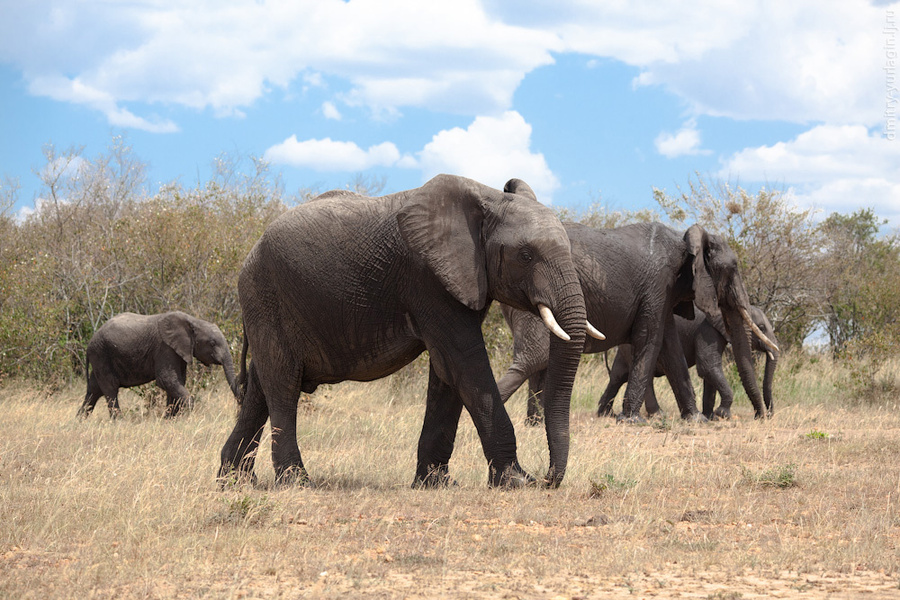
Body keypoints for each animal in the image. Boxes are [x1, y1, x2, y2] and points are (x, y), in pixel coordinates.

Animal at [78, 312, 239, 420]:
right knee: (110, 388)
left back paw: (80, 421)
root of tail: (89, 343)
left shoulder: (178, 351)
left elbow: (178, 381)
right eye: (212, 343)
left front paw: (170, 419)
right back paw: (118, 422)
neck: (192, 321)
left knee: (94, 389)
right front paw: (183, 416)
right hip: (101, 354)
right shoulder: (165, 348)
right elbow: (166, 380)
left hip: (100, 357)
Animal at [217, 172, 596, 488]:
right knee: (283, 386)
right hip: (265, 295)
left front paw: (436, 484)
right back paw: (296, 483)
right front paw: (516, 482)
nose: (546, 478)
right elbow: (466, 362)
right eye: (526, 256)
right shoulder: (427, 277)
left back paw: (233, 481)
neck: (487, 199)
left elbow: (447, 372)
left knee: (260, 388)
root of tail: (250, 252)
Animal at [596, 304, 780, 418]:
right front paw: (722, 415)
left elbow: (709, 373)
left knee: (618, 376)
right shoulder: (706, 329)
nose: (762, 417)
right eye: (761, 328)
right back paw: (657, 415)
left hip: (625, 348)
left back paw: (606, 414)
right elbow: (707, 366)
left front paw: (710, 416)